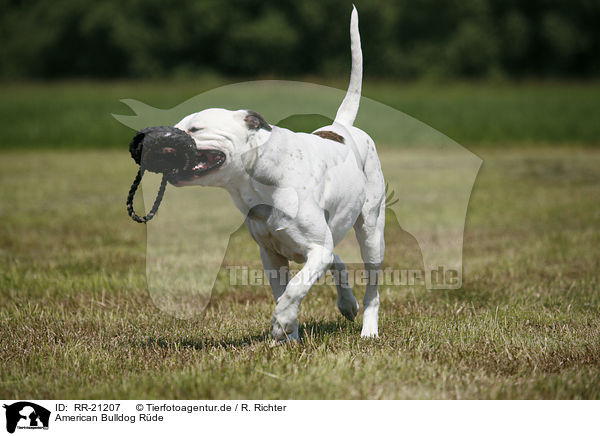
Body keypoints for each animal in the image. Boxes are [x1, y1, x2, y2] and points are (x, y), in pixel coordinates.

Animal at [170, 7, 384, 340]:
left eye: (195, 128)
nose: (158, 137)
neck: (259, 180)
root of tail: (340, 126)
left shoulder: (316, 250)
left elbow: (294, 289)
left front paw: (281, 321)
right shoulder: (271, 257)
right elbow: (285, 291)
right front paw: (288, 337)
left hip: (372, 231)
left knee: (371, 284)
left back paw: (369, 329)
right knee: (337, 260)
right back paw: (347, 304)